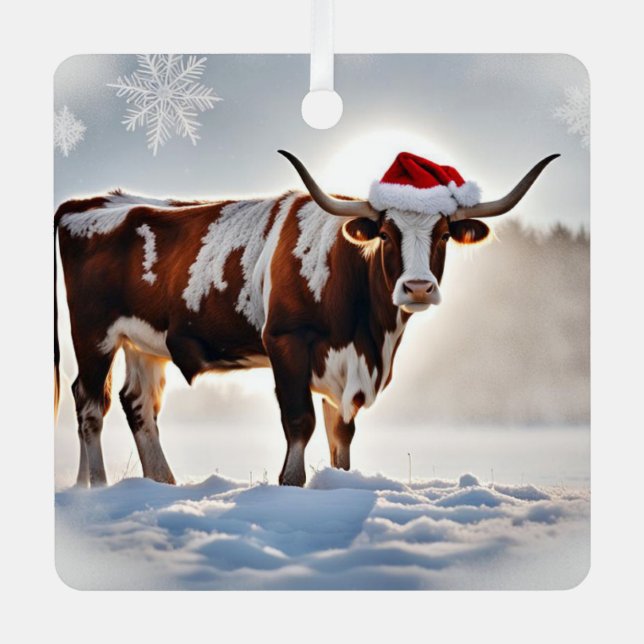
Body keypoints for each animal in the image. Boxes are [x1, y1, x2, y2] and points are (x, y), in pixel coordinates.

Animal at [54, 150, 558, 487]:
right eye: (386, 233)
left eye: (444, 234)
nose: (417, 288)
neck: (367, 333)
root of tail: (88, 203)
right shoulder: (287, 342)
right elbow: (300, 423)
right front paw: (293, 485)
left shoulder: (347, 368)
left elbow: (341, 438)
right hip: (94, 335)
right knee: (90, 403)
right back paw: (95, 486)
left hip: (144, 343)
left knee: (137, 404)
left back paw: (161, 484)